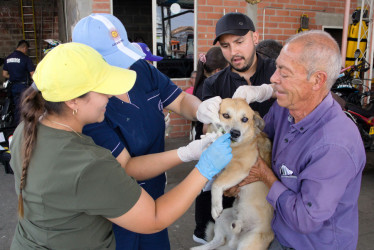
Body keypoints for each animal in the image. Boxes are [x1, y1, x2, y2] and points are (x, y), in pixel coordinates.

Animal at [191, 98, 274, 250]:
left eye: (245, 119)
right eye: (226, 115)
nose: (235, 133)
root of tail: (235, 239)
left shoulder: (239, 169)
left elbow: (216, 184)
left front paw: (215, 206)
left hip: (247, 244)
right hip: (224, 217)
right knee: (217, 241)